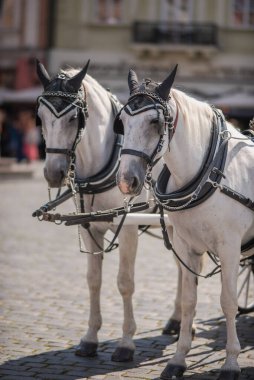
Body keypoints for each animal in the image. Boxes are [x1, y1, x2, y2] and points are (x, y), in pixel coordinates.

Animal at [34, 59, 181, 362]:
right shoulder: (89, 226)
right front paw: (90, 338)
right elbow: (93, 280)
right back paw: (176, 320)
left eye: (73, 118)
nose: (53, 173)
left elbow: (125, 282)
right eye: (39, 117)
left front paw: (126, 343)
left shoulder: (128, 229)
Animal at [116, 67, 254, 378]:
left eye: (155, 122)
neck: (210, 171)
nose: (127, 181)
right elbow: (190, 300)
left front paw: (230, 362)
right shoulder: (186, 245)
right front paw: (178, 359)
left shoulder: (230, 247)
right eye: (122, 123)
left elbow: (228, 301)